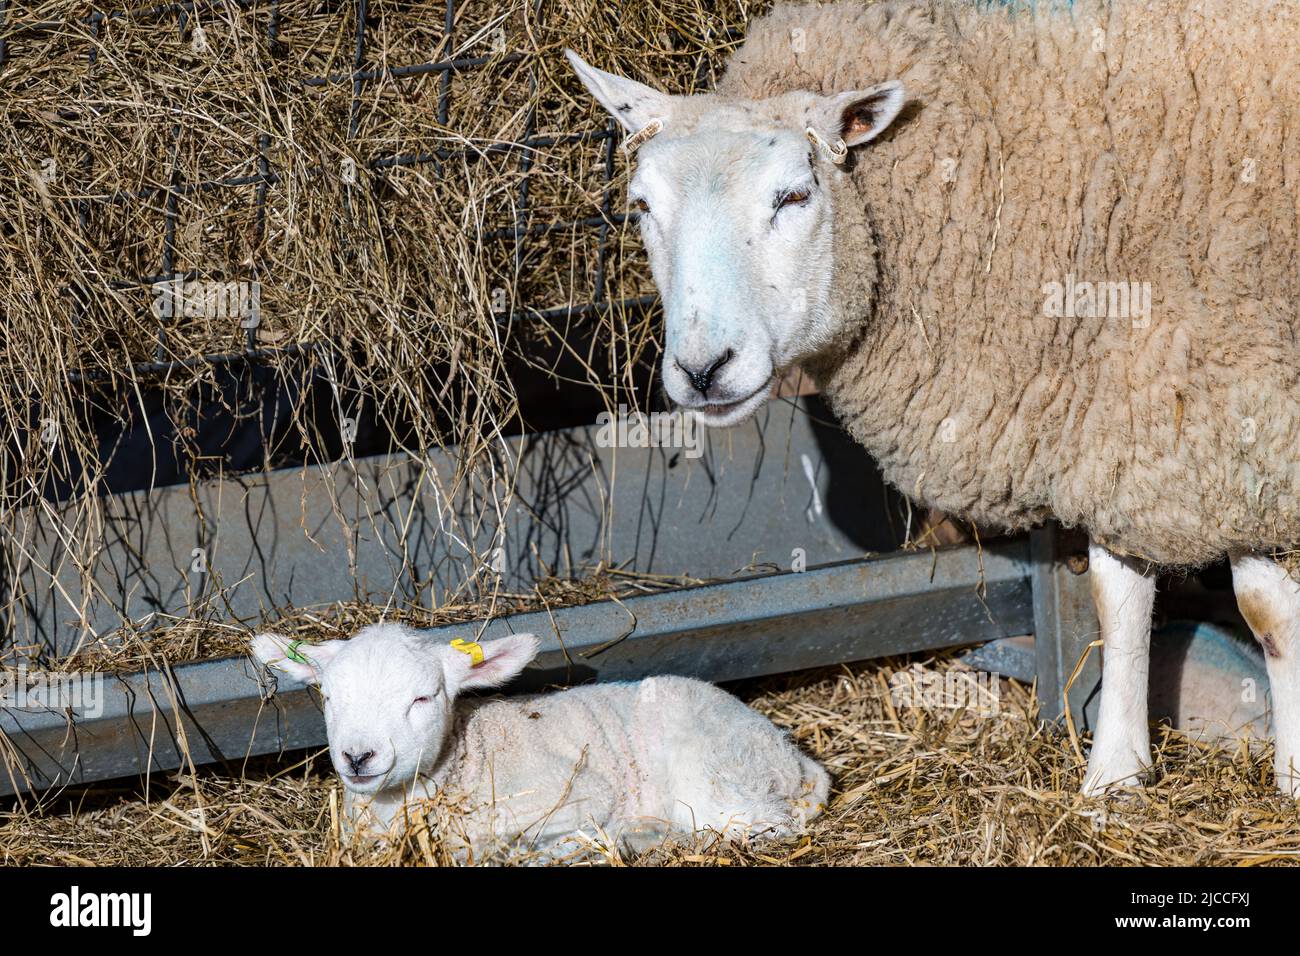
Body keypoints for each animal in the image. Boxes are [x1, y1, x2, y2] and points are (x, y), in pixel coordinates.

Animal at [249, 624, 829, 859]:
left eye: (422, 698)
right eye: (328, 697)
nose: (358, 756)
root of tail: (795, 759)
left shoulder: (578, 791)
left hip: (716, 768)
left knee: (760, 824)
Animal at [567, 0, 1300, 797]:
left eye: (794, 195)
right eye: (642, 205)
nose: (702, 371)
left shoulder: (1249, 413)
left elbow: (1269, 611)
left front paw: (1291, 773)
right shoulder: (1133, 416)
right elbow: (1121, 599)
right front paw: (1114, 777)